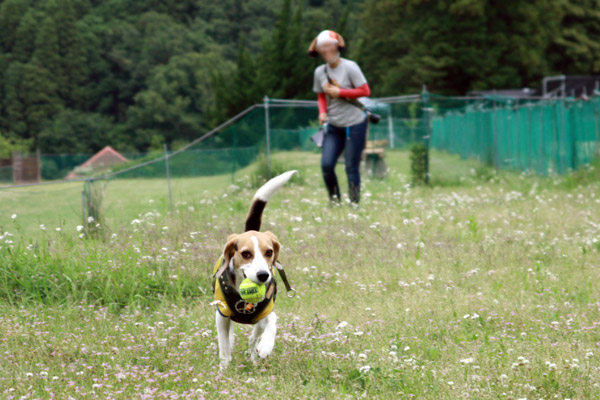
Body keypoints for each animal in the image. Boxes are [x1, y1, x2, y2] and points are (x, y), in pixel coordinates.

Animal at [214, 170, 296, 368]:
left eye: (269, 252)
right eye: (246, 254)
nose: (263, 275)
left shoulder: (266, 312)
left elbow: (272, 322)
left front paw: (266, 345)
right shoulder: (221, 315)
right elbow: (224, 345)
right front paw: (224, 367)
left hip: (258, 321)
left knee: (253, 338)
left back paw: (254, 353)